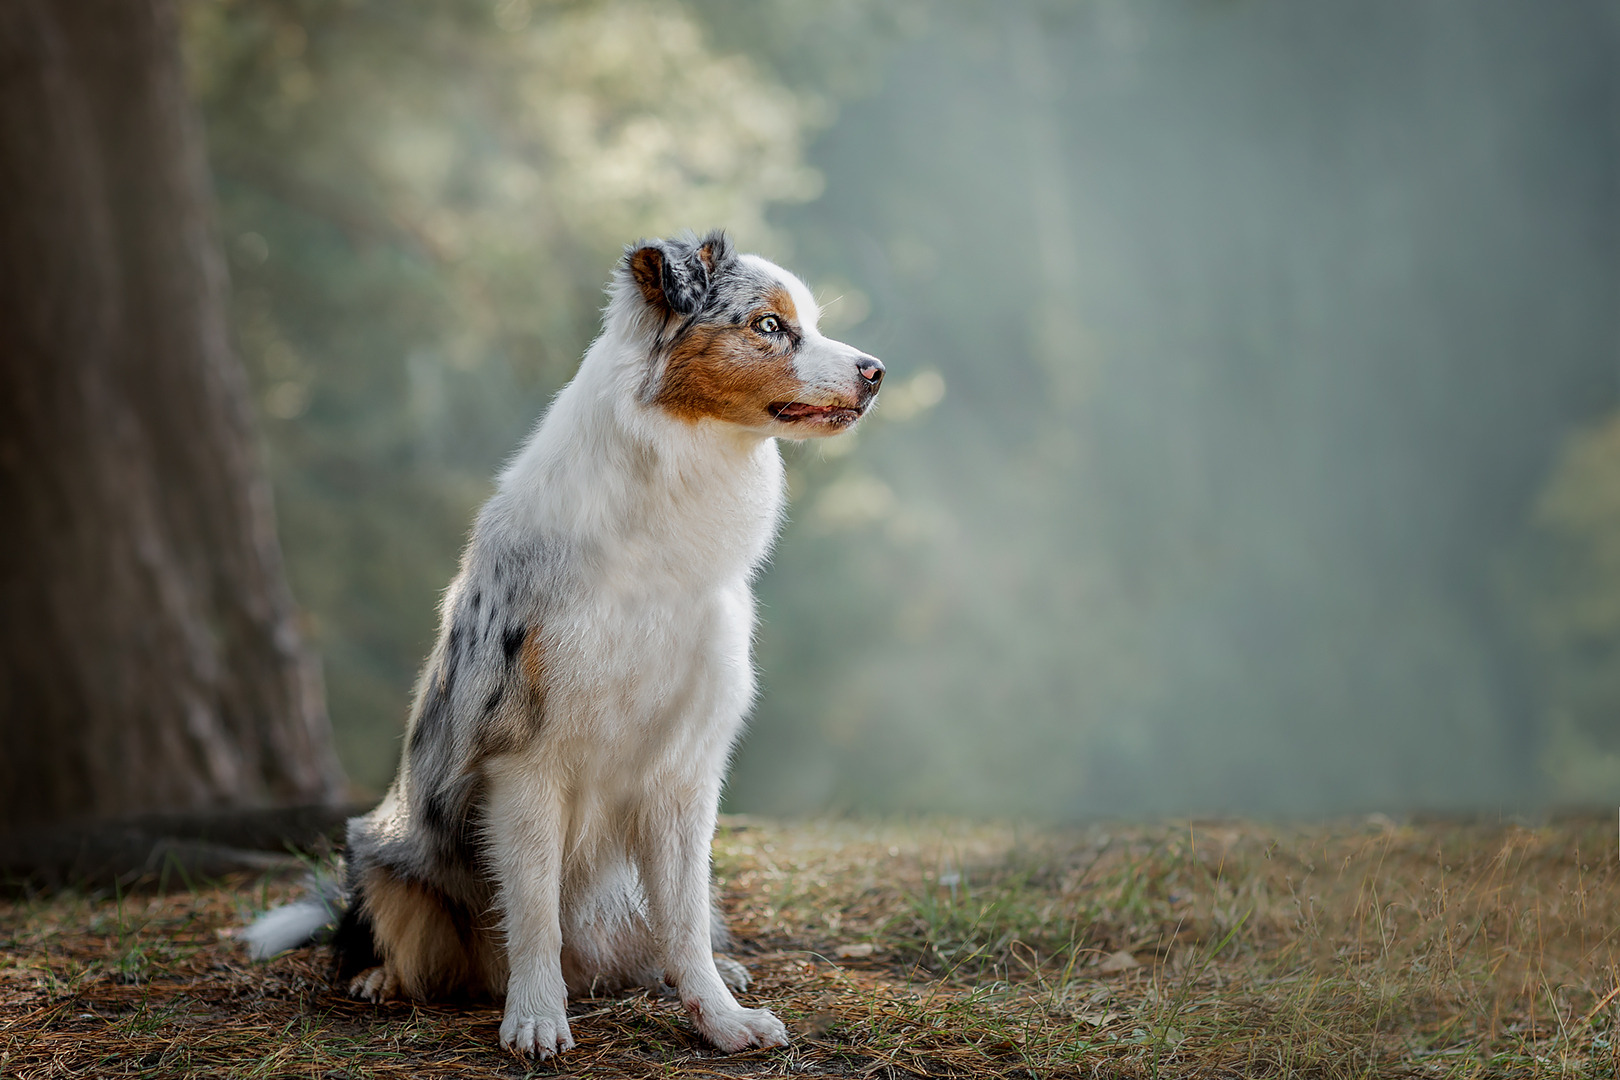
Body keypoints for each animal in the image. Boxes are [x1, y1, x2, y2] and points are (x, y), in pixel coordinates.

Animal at [243, 233, 887, 1062]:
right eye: (770, 326)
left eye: (808, 321)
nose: (876, 372)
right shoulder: (523, 757)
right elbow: (534, 911)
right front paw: (537, 1019)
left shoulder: (686, 767)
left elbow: (683, 919)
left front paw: (719, 1019)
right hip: (384, 850)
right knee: (376, 930)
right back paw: (377, 977)